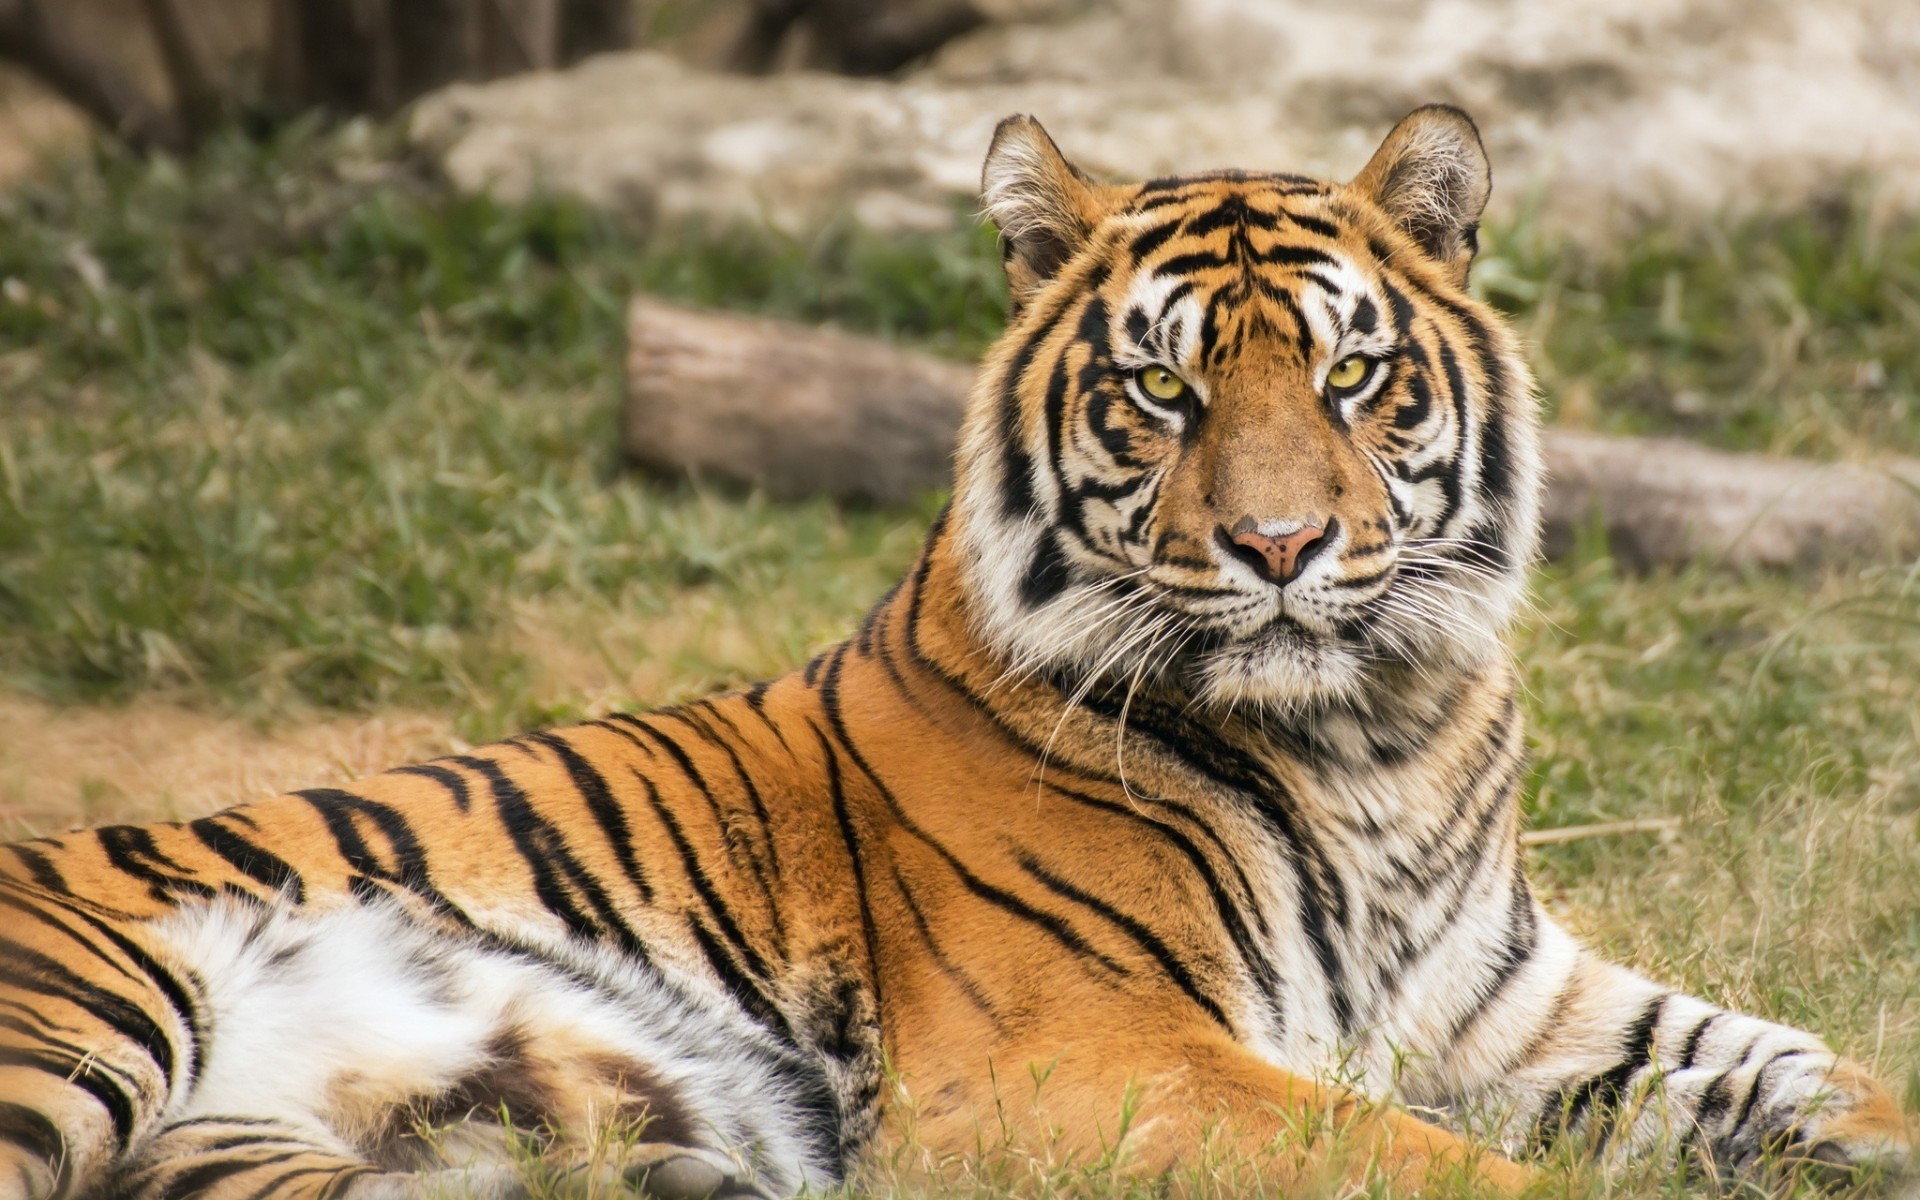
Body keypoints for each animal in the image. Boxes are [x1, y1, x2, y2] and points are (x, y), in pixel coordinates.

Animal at [3, 105, 1920, 1198]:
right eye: (1165, 390)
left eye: (1350, 375)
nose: (1280, 548)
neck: (1375, 739)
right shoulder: (1099, 1061)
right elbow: (1424, 1165)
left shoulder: (1521, 1013)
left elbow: (1825, 1071)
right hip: (95, 1011)